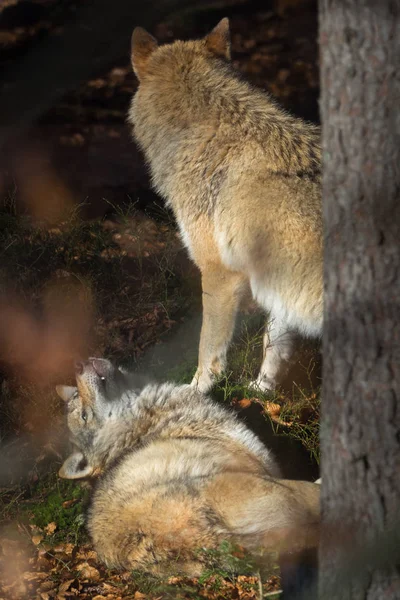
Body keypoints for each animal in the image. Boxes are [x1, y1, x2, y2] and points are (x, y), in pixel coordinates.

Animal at [130, 18, 324, 392]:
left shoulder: (220, 273)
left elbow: (208, 350)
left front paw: (194, 394)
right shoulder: (278, 280)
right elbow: (273, 345)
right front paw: (262, 391)